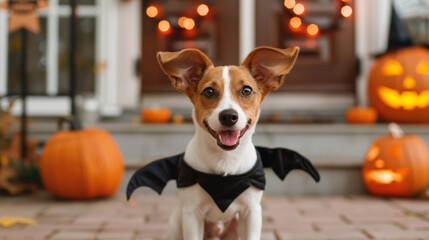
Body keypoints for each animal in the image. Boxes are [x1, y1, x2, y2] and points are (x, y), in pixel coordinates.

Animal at [125, 46, 310, 239]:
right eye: (209, 92)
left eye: (246, 90)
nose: (228, 116)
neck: (225, 159)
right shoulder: (192, 214)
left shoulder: (251, 212)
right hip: (177, 222)